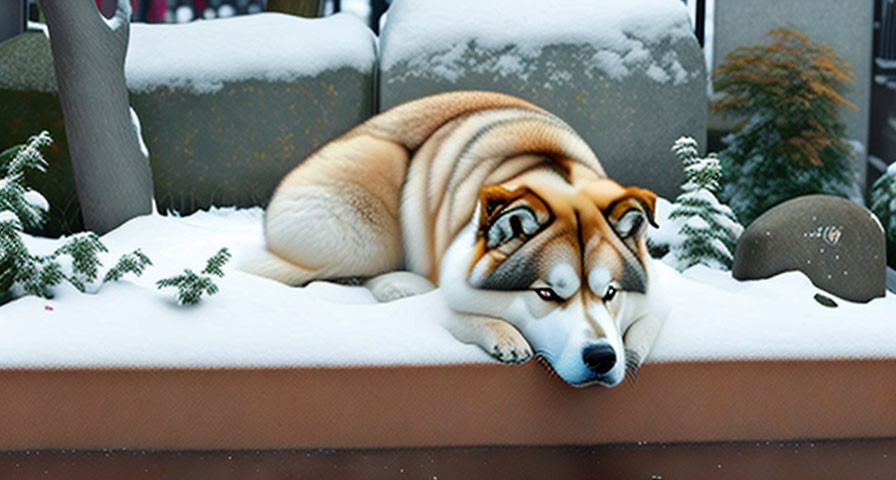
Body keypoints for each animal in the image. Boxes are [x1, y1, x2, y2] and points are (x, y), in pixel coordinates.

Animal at [238, 90, 664, 388]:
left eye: (610, 292)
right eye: (546, 293)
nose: (602, 357)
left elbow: (648, 323)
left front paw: (629, 353)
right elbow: (458, 310)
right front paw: (504, 335)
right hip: (368, 218)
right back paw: (399, 285)